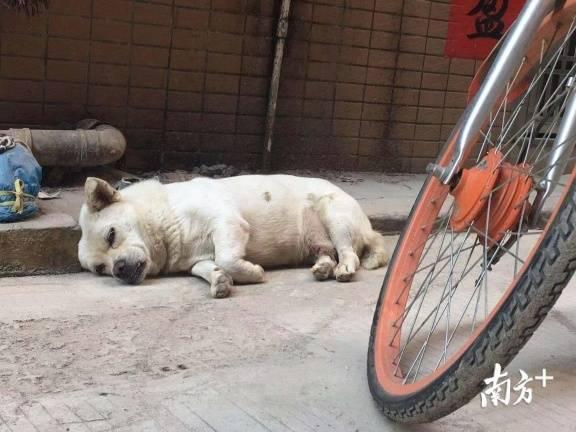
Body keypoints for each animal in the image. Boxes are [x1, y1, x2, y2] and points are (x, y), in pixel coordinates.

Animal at [77, 175, 388, 296]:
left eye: (111, 235)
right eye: (100, 269)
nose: (117, 270)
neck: (167, 217)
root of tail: (369, 228)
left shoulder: (227, 222)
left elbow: (226, 258)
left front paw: (251, 273)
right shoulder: (195, 260)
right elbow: (208, 268)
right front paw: (220, 281)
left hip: (336, 218)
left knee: (347, 252)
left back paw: (344, 268)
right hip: (315, 240)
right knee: (326, 252)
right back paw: (323, 267)